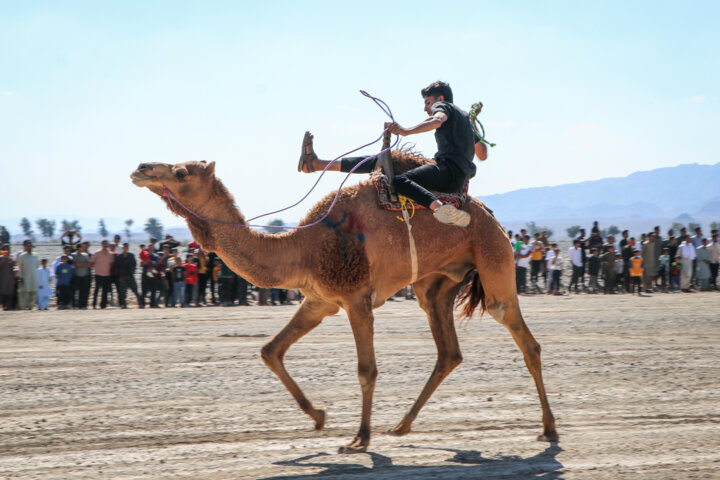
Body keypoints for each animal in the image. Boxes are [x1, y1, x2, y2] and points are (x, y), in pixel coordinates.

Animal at [129, 153, 556, 454]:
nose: (140, 167)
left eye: (181, 172)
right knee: (449, 351)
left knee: (524, 338)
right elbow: (271, 351)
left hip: (494, 260)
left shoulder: (356, 300)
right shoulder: (319, 300)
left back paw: (549, 428)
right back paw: (402, 425)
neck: (302, 246)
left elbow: (367, 369)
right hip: (435, 286)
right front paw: (318, 416)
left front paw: (359, 438)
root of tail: (493, 218)